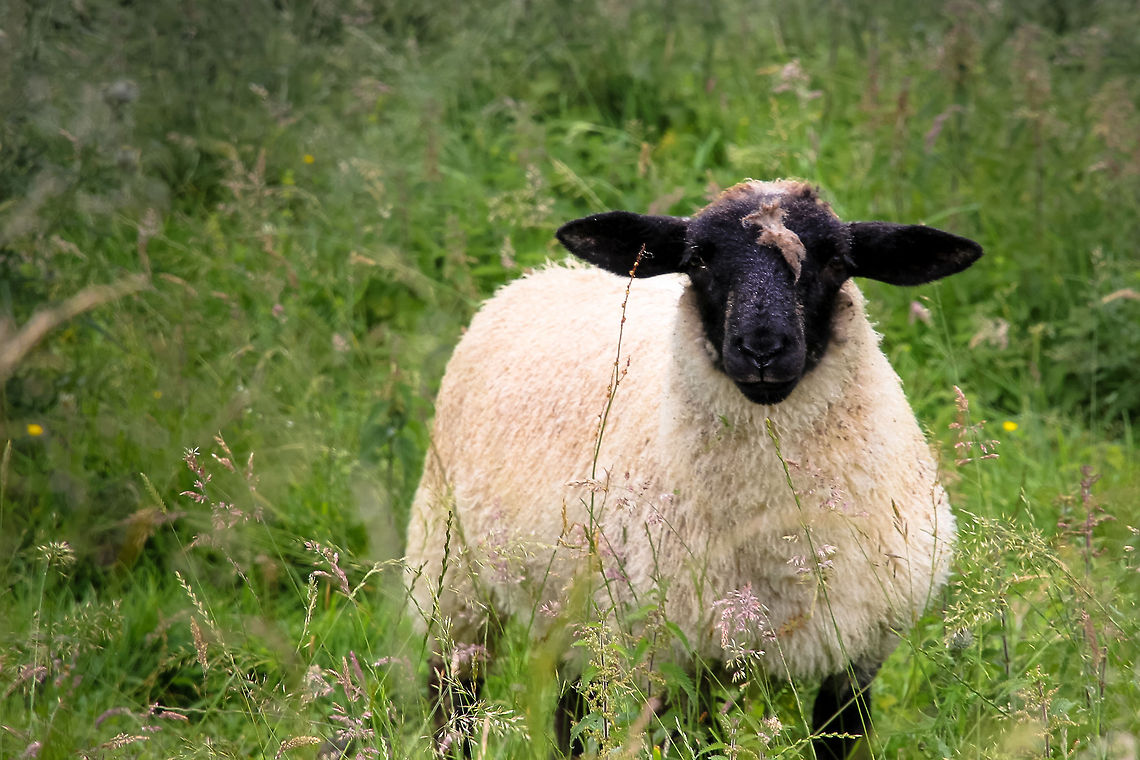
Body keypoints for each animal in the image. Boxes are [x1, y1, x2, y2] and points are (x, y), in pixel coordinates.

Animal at [404, 179, 982, 758]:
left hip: (580, 616)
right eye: (699, 258)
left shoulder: (858, 652)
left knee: (574, 709)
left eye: (837, 260)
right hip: (453, 574)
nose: (762, 349)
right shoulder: (677, 655)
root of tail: (542, 275)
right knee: (454, 700)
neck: (779, 544)